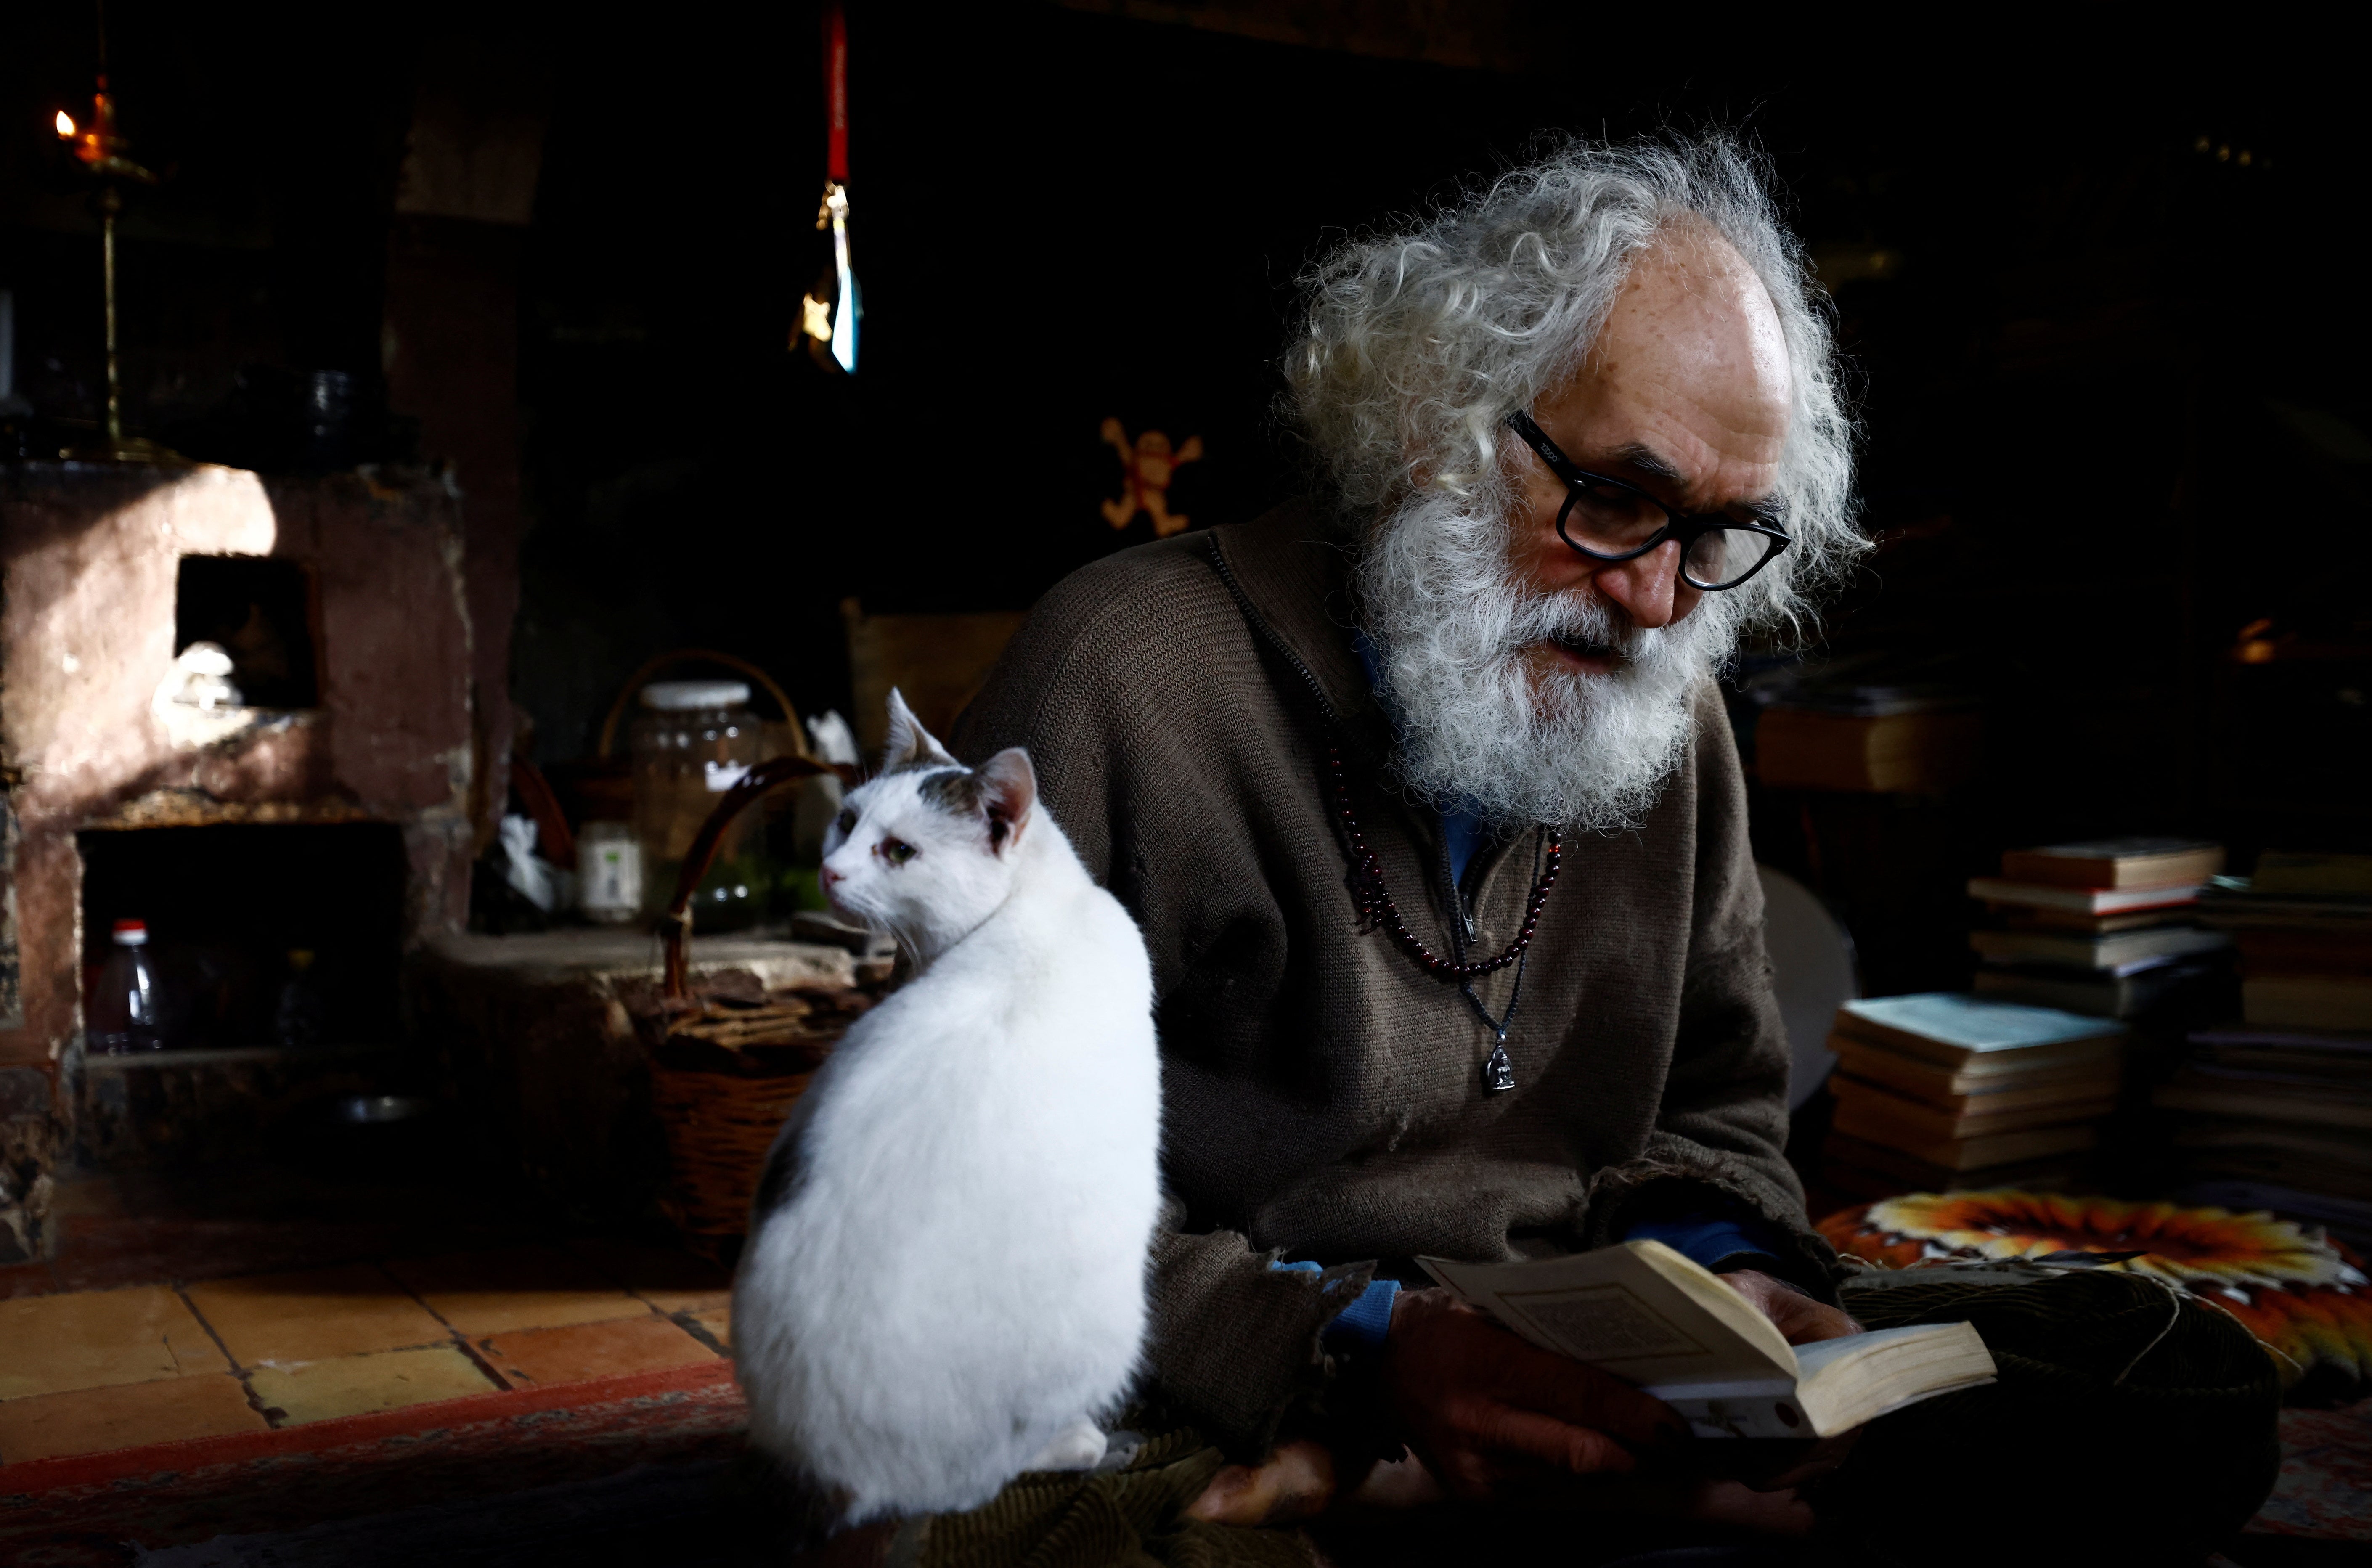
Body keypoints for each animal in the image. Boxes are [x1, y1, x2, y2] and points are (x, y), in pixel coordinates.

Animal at [730, 692, 1157, 1518]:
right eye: (846, 820)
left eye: (897, 850)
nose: (828, 868)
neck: (1036, 907)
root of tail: (836, 1467)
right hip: (1107, 1326)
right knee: (998, 1468)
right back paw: (1090, 1444)